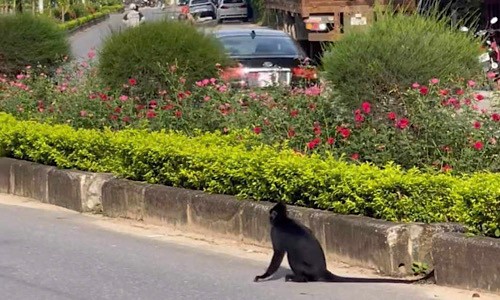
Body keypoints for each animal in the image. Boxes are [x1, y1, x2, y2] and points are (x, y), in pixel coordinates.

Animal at [254, 202, 434, 284]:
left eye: (271, 214)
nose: (269, 217)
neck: (283, 220)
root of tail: (323, 270)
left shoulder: (275, 232)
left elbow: (278, 255)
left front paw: (263, 276)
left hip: (306, 268)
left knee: (293, 256)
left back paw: (300, 278)